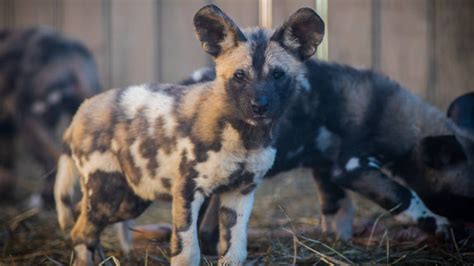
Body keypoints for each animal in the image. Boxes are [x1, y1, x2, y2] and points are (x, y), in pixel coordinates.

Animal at [53, 5, 324, 264]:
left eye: (278, 75)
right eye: (239, 75)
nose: (259, 106)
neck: (245, 136)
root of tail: (84, 108)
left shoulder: (241, 192)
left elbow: (235, 250)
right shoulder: (187, 191)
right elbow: (187, 251)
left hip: (130, 199)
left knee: (81, 217)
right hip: (108, 194)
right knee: (81, 232)